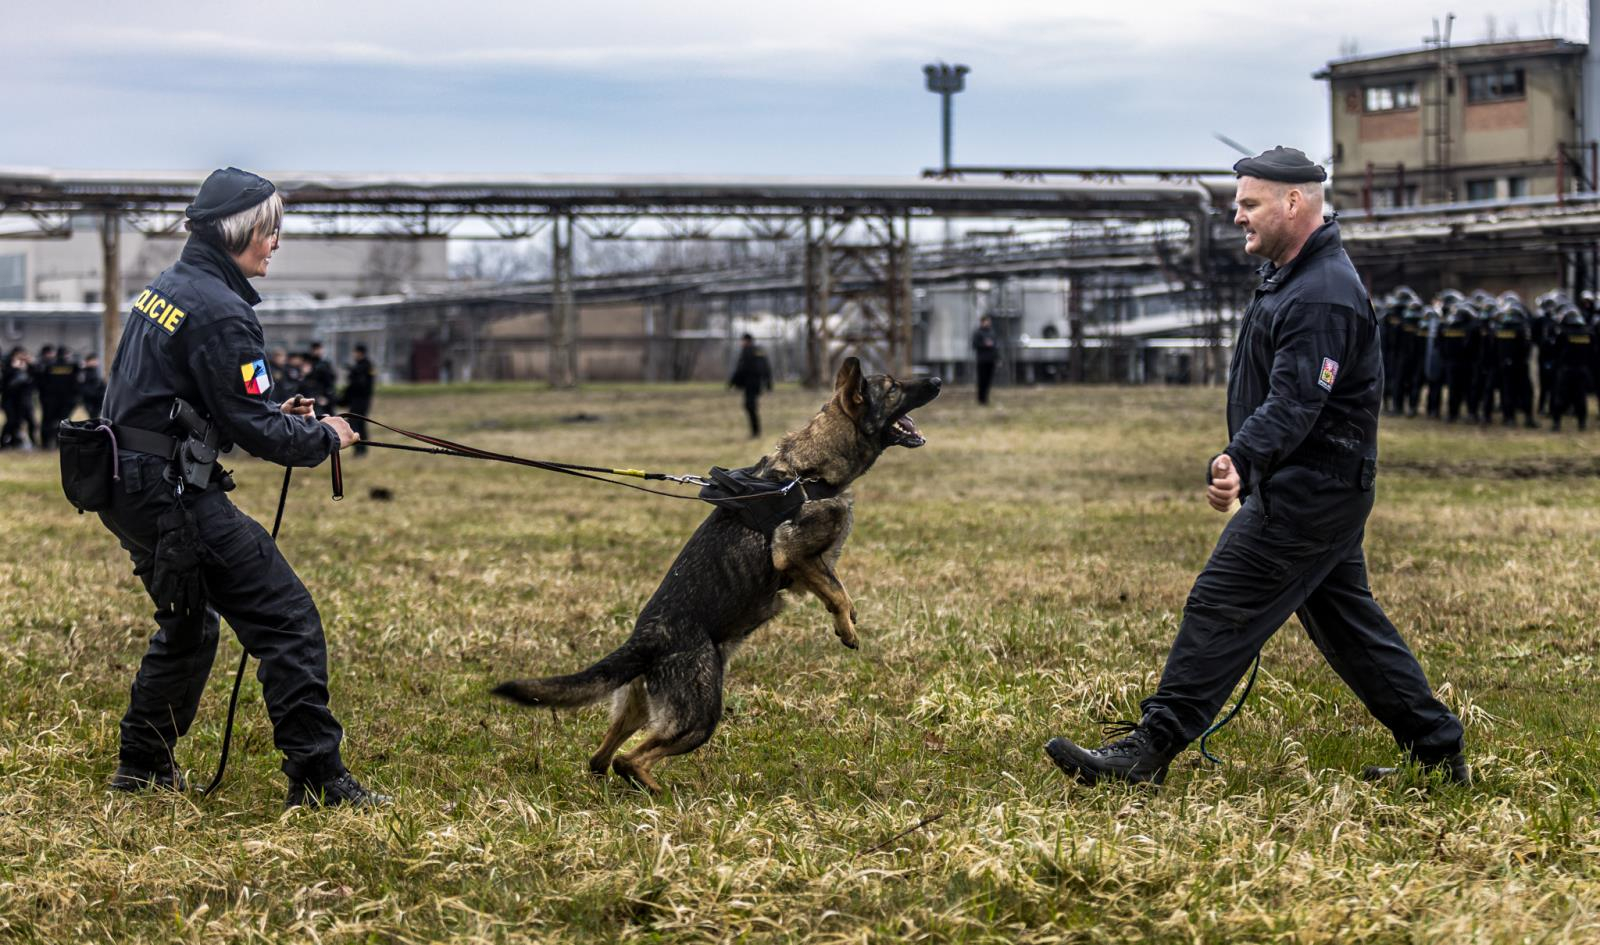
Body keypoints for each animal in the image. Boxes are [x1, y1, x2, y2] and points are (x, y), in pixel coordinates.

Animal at [489, 358, 934, 796]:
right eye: (893, 387)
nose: (937, 379)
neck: (809, 472)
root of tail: (644, 641)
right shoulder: (791, 555)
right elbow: (837, 592)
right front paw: (847, 628)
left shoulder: (809, 565)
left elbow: (834, 587)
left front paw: (847, 619)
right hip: (700, 715)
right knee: (627, 760)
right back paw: (658, 791)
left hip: (639, 709)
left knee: (600, 758)